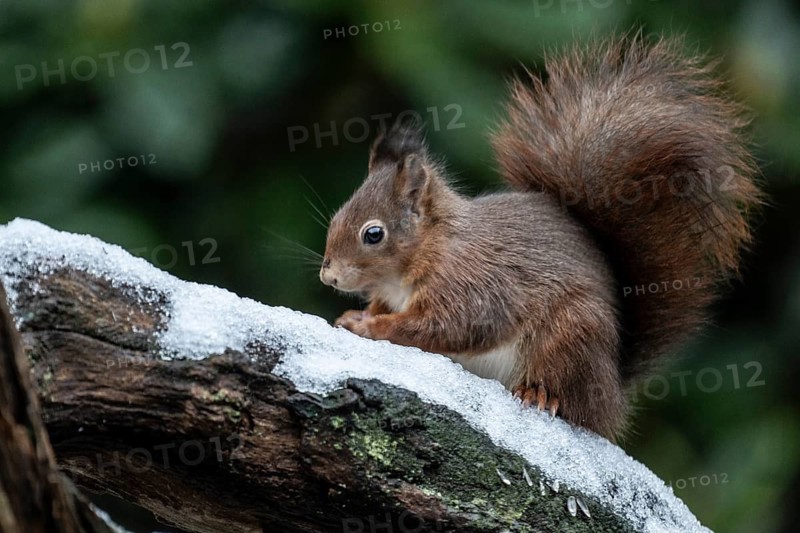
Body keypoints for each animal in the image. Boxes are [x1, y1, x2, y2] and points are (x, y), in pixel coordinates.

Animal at [319, 33, 761, 441]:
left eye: (373, 234)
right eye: (337, 217)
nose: (329, 276)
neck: (428, 249)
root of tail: (612, 394)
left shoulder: (471, 286)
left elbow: (444, 327)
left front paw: (373, 328)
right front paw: (355, 315)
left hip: (569, 335)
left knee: (568, 396)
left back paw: (540, 395)